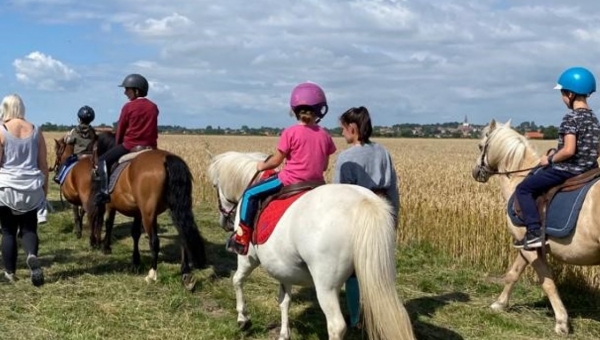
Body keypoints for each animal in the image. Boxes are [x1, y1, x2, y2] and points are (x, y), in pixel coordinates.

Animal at [85, 131, 209, 286]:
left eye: (94, 148)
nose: (92, 167)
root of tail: (167, 159)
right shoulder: (138, 211)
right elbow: (135, 233)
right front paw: (135, 261)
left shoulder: (111, 205)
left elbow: (109, 224)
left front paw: (106, 247)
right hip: (174, 209)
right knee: (183, 235)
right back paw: (185, 272)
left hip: (149, 214)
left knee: (154, 241)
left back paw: (152, 274)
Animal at [206, 151, 412, 340]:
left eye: (215, 186)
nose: (223, 222)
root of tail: (363, 202)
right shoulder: (283, 268)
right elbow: (284, 300)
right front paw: (284, 334)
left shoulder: (248, 258)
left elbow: (237, 280)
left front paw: (243, 318)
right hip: (378, 275)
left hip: (326, 285)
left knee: (336, 326)